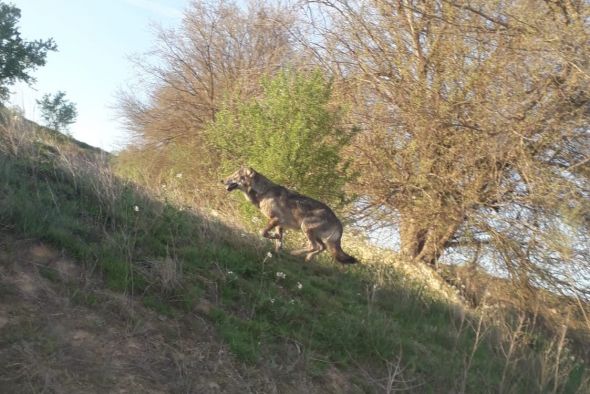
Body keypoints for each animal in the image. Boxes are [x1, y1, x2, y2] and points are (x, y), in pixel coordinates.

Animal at [224, 166, 358, 264]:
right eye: (231, 174)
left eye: (235, 176)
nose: (222, 180)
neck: (264, 192)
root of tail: (339, 223)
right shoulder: (279, 224)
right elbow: (278, 242)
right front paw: (277, 251)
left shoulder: (276, 219)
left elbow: (263, 232)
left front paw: (275, 239)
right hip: (315, 235)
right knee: (321, 247)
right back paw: (308, 258)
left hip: (305, 227)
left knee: (314, 246)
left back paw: (295, 253)